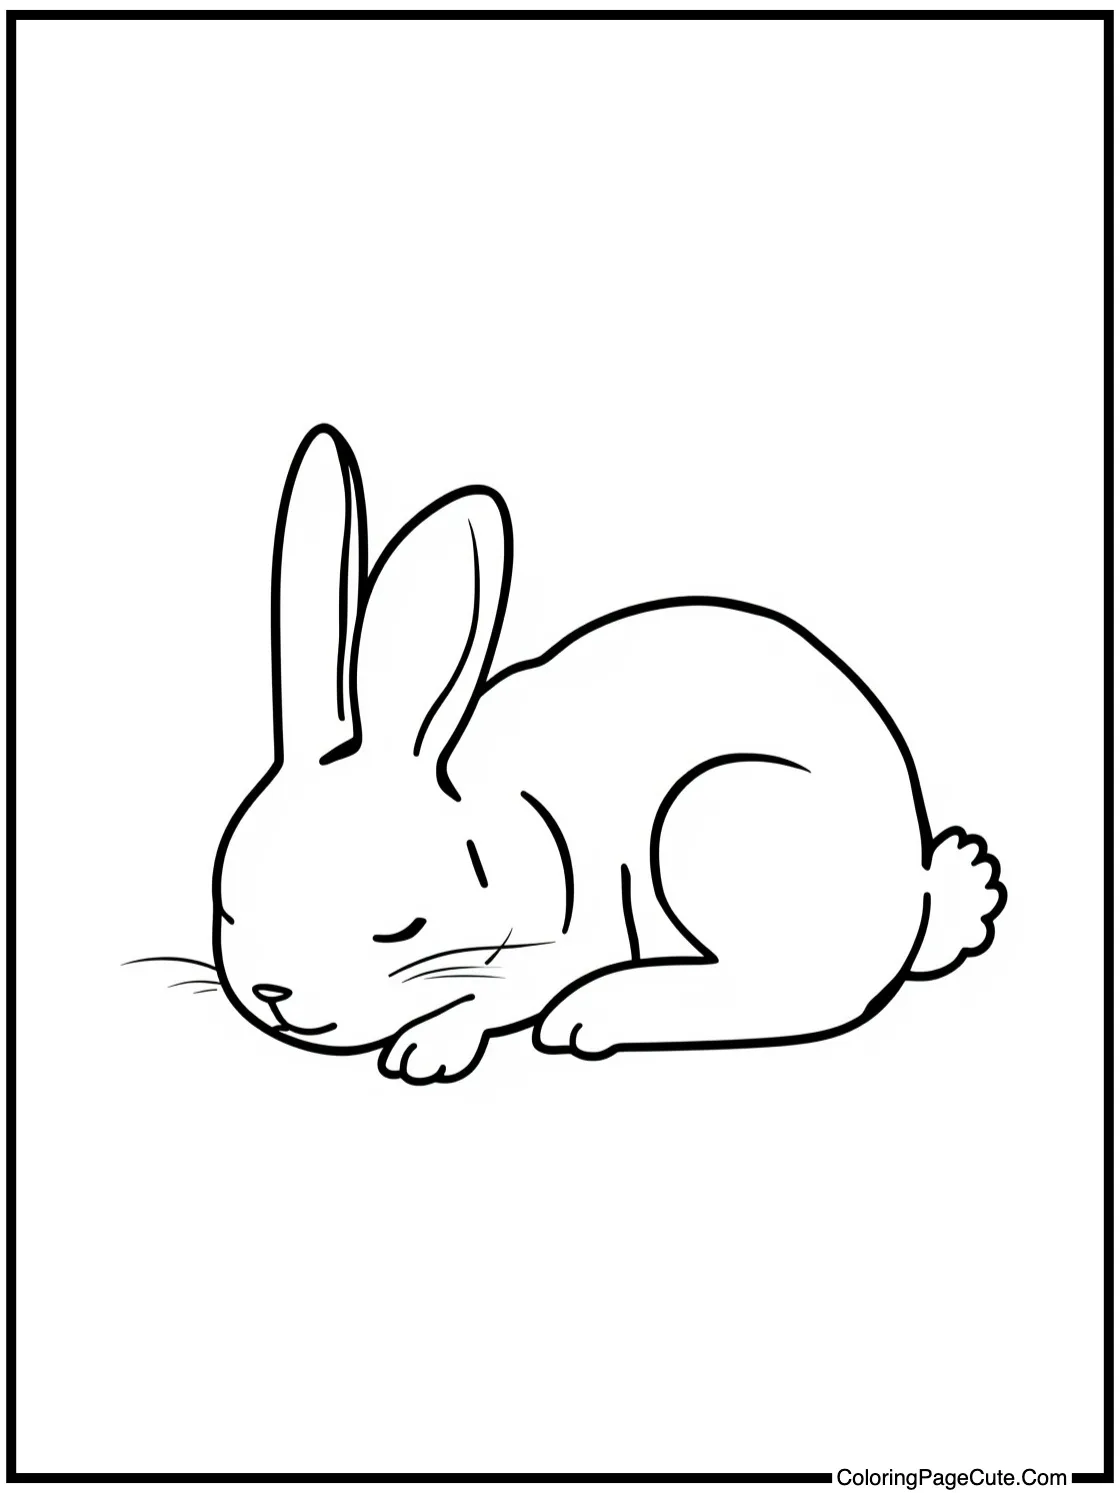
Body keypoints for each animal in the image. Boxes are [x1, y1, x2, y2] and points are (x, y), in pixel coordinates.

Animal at [212, 423, 1006, 1084]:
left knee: (798, 989)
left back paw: (596, 1013)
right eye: (228, 911)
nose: (273, 993)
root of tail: (915, 890)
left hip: (714, 812)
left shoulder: (569, 938)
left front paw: (429, 1047)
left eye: (400, 929)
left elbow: (496, 992)